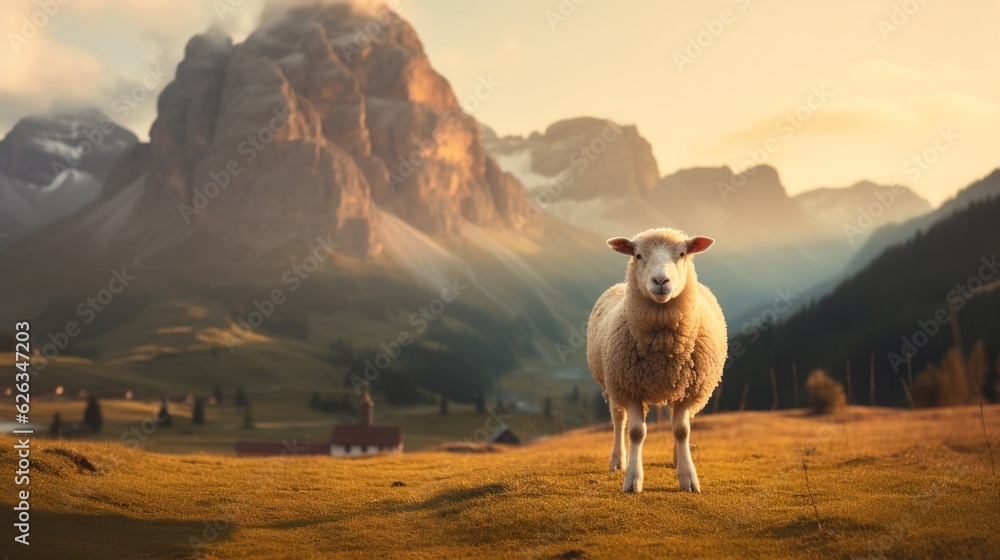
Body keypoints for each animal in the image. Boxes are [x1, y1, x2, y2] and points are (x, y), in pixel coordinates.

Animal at [587, 228, 727, 493]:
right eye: (638, 255)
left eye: (682, 254)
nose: (661, 281)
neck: (663, 348)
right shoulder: (630, 386)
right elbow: (635, 432)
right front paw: (632, 479)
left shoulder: (689, 389)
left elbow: (682, 430)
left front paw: (688, 477)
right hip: (611, 384)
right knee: (618, 421)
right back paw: (618, 460)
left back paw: (676, 458)